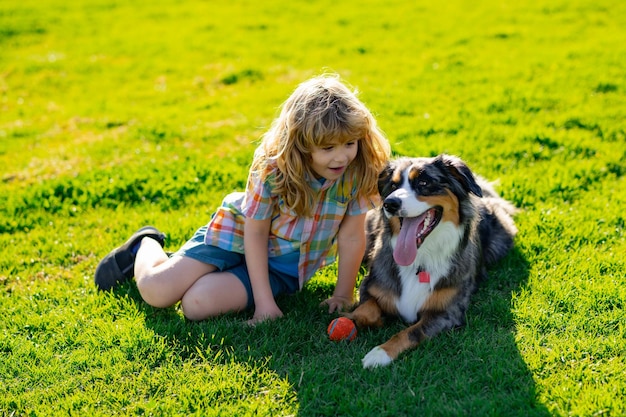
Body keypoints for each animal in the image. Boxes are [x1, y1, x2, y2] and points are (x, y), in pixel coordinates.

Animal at [344, 154, 516, 368]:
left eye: (423, 183)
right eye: (393, 185)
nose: (390, 204)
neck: (420, 258)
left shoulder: (445, 312)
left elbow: (410, 332)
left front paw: (380, 353)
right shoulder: (369, 285)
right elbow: (366, 311)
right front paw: (360, 319)